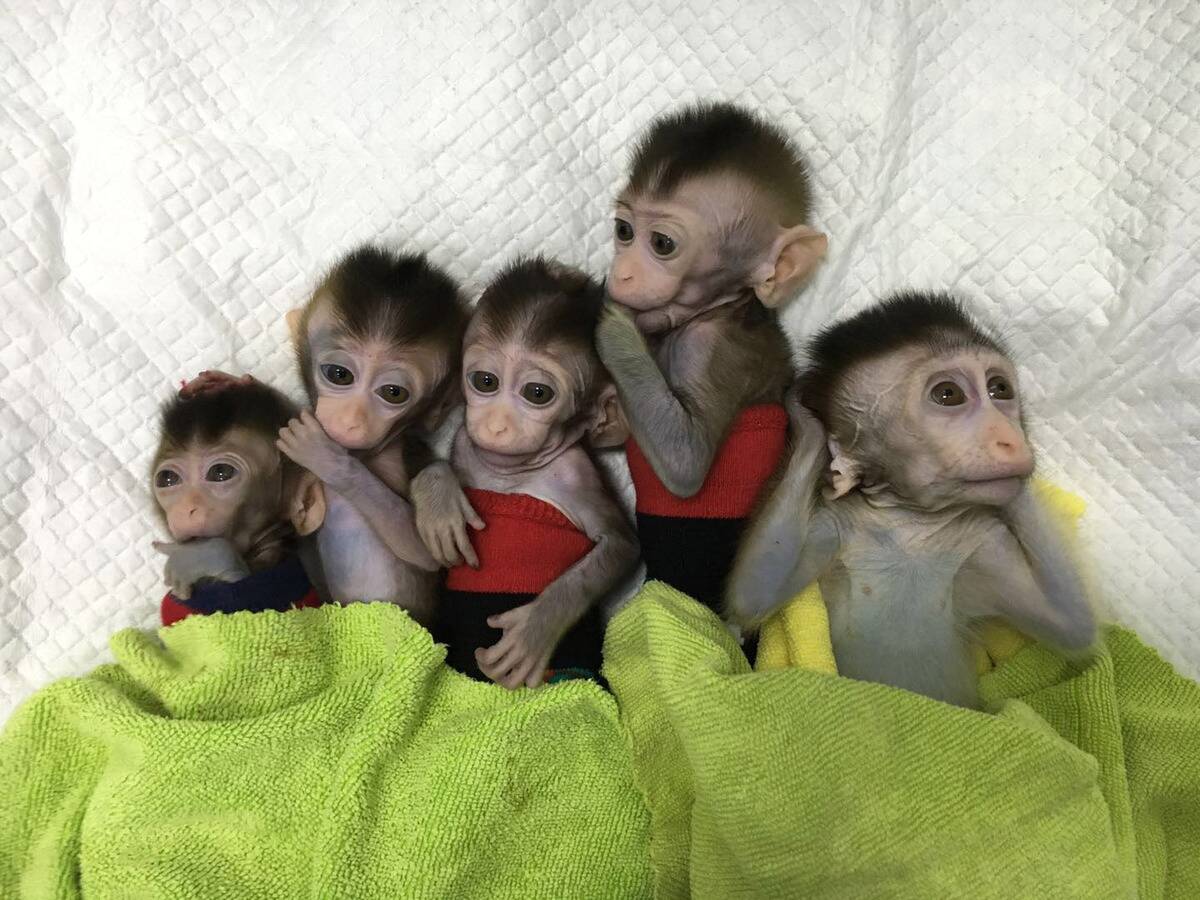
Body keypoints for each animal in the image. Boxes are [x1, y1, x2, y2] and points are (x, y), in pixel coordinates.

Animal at [412, 256, 638, 689]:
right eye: (485, 381)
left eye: (537, 393)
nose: (497, 425)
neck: (513, 475)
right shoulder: (465, 442)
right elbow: (444, 464)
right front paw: (440, 501)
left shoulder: (578, 476)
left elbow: (620, 544)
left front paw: (537, 627)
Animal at [595, 101, 828, 616]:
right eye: (624, 231)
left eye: (662, 244)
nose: (621, 274)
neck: (719, 306)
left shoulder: (710, 347)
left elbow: (686, 460)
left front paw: (611, 322)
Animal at [726, 291, 1098, 707]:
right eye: (948, 395)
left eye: (1000, 389)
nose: (1011, 437)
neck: (911, 525)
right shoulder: (832, 524)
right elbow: (755, 592)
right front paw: (804, 417)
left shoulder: (985, 541)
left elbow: (1070, 622)